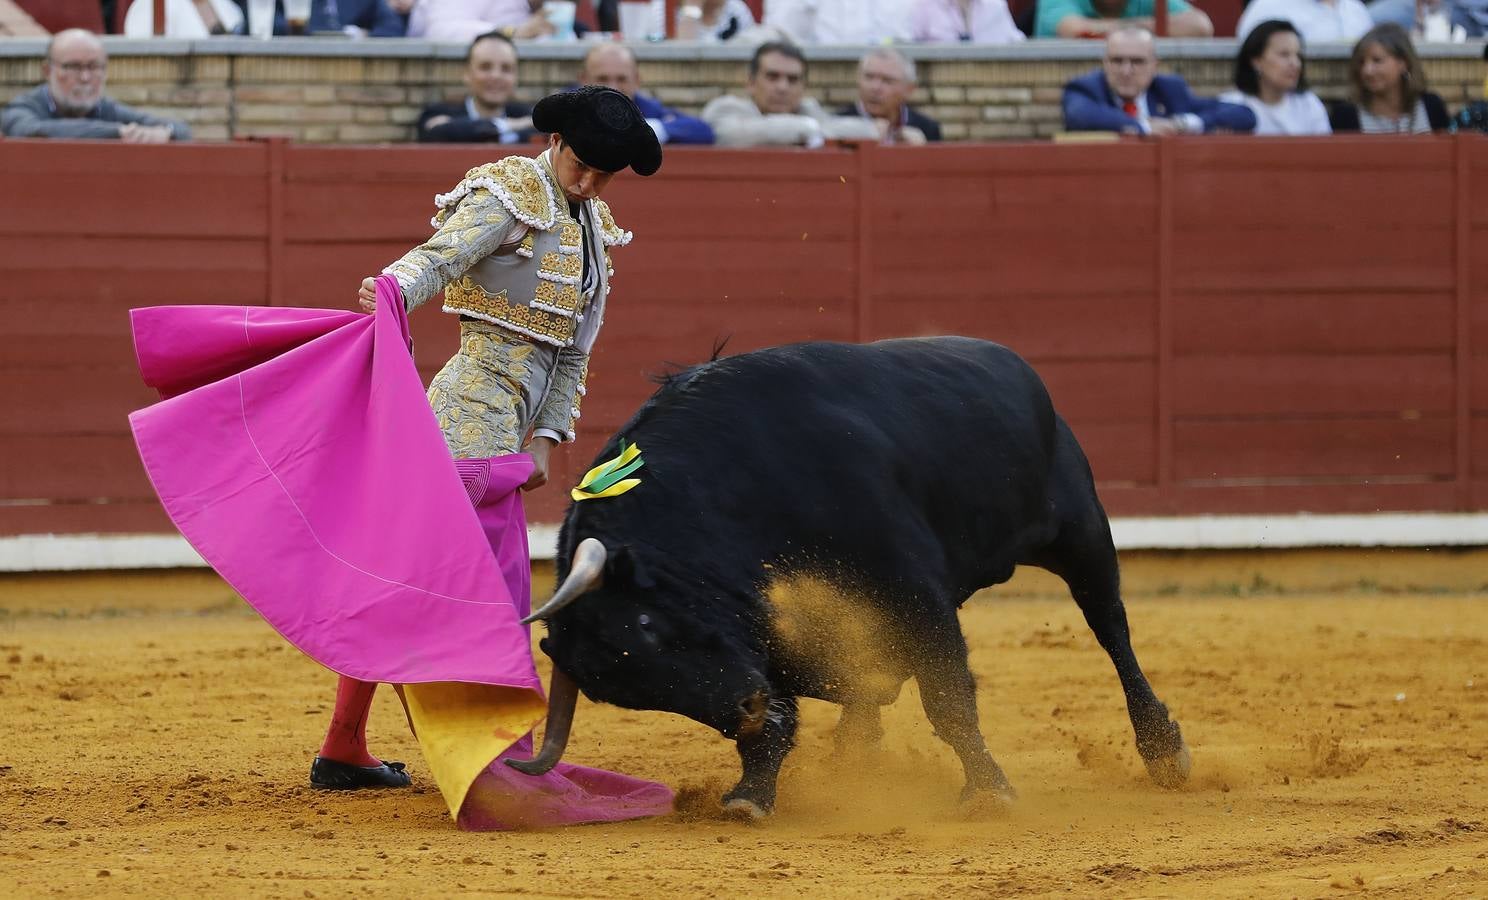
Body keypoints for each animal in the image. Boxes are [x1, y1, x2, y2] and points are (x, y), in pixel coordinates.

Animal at [505, 334, 1190, 815]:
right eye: (629, 693)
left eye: (646, 623)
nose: (746, 709)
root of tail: (1011, 362)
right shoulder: (764, 620)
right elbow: (801, 700)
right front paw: (751, 795)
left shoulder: (912, 587)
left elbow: (947, 699)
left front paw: (989, 792)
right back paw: (855, 751)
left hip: (1081, 531)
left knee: (1111, 628)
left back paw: (1165, 752)